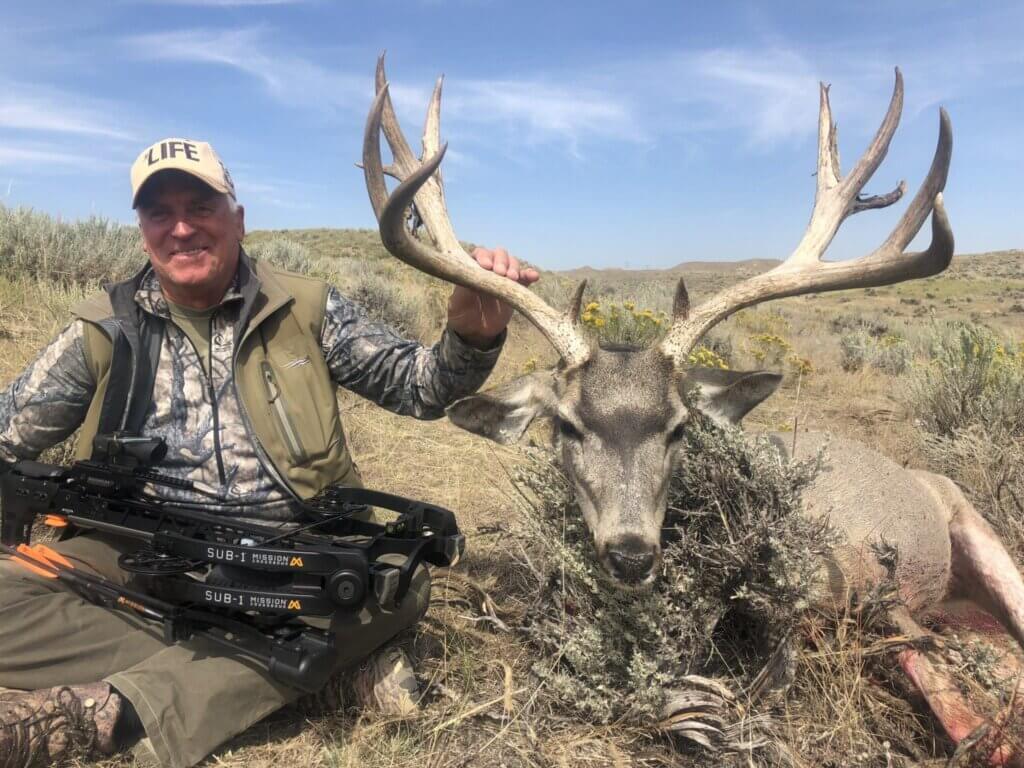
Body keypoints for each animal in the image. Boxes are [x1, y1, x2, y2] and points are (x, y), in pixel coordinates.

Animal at [360, 55, 1024, 765]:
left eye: (680, 428)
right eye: (567, 424)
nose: (630, 555)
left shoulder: (831, 583)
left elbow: (782, 674)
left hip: (974, 532)